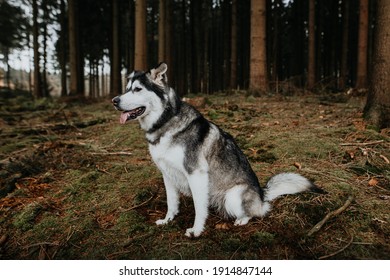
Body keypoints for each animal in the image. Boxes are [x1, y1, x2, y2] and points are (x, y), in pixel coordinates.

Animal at [112, 63, 322, 236]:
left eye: (137, 89)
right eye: (127, 89)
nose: (114, 100)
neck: (166, 121)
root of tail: (262, 194)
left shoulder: (196, 174)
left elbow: (199, 207)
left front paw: (196, 231)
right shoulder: (167, 174)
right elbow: (172, 203)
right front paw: (167, 220)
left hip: (233, 196)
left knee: (258, 212)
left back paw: (242, 219)